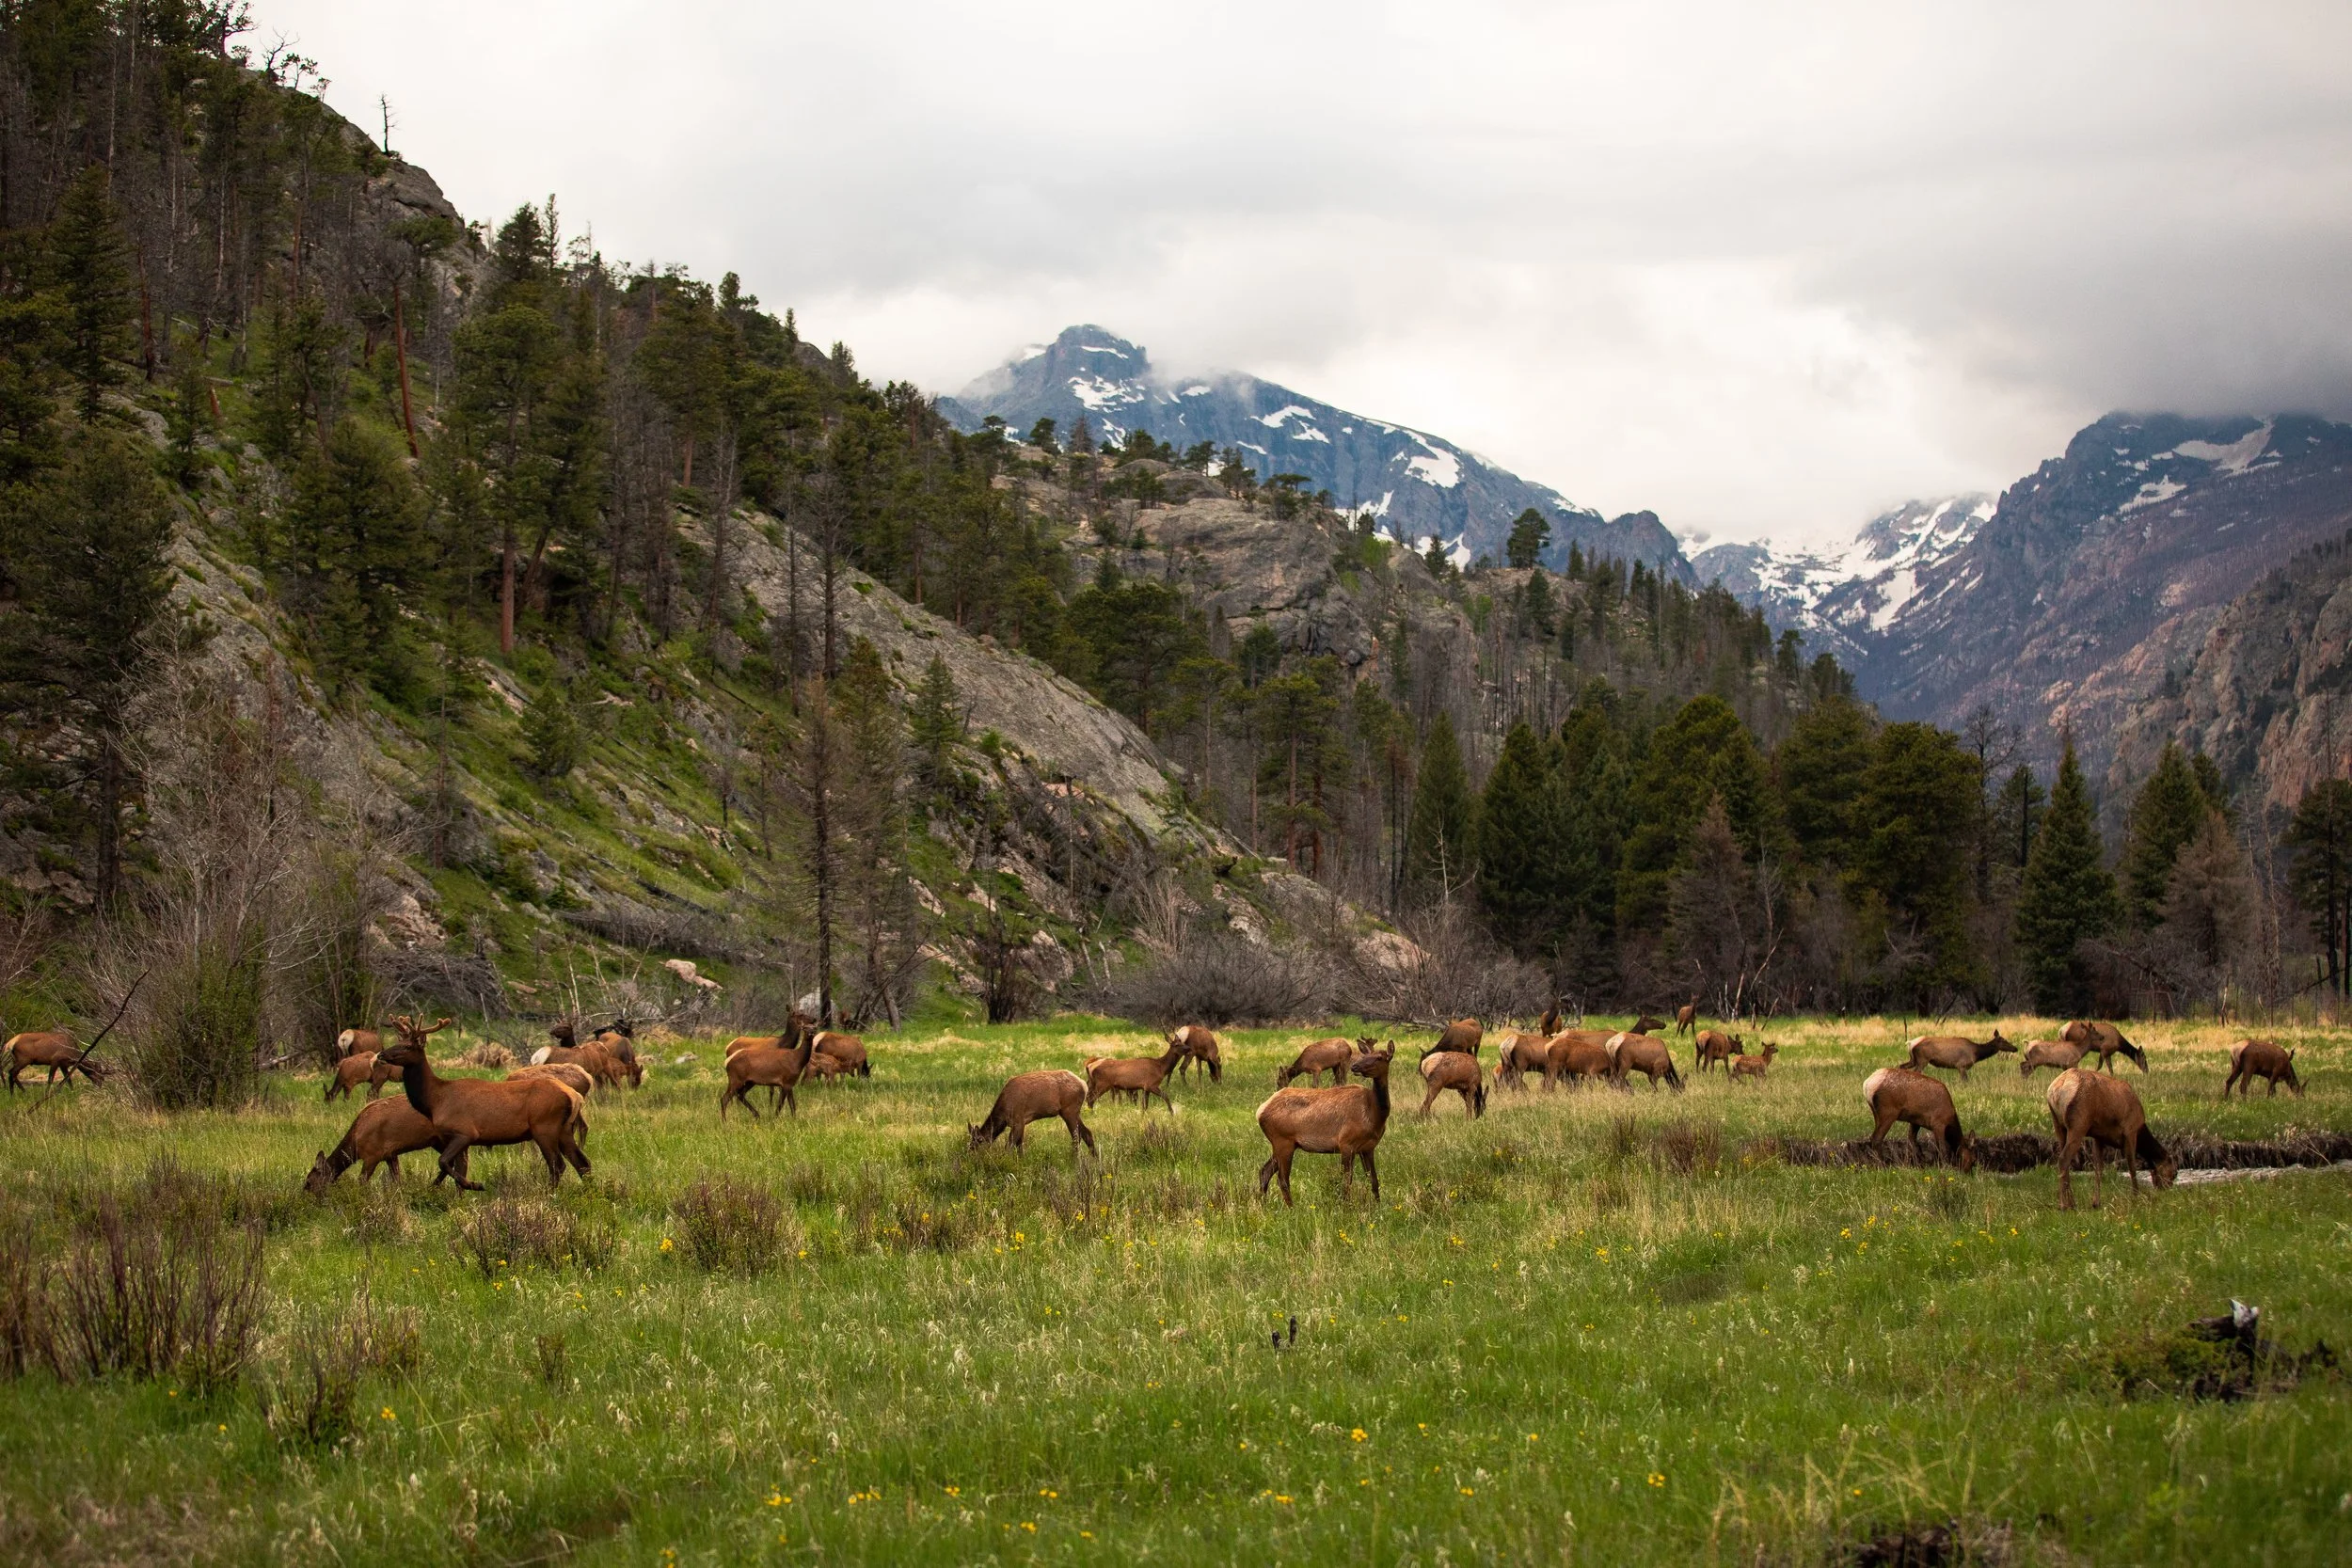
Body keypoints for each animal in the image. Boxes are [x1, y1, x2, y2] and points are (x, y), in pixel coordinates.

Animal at [305, 1097, 453, 1192]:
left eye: (309, 1182)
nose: (303, 1198)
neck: (356, 1145)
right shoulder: (390, 1154)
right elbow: (396, 1179)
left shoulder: (372, 1154)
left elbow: (362, 1181)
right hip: (437, 1141)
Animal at [376, 1016, 591, 1191]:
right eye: (398, 1041)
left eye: (407, 1047)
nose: (381, 1055)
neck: (435, 1100)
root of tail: (574, 1096)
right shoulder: (454, 1138)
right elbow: (457, 1169)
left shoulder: (465, 1132)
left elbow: (443, 1162)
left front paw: (475, 1185)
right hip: (564, 1129)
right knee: (582, 1162)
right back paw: (589, 1194)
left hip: (544, 1127)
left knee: (557, 1165)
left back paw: (549, 1194)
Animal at [968, 1069, 1096, 1157]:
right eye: (970, 1143)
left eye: (978, 1141)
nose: (970, 1153)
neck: (1004, 1114)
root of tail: (1084, 1085)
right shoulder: (1021, 1123)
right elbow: (1020, 1147)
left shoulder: (1018, 1120)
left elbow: (1009, 1147)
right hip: (1074, 1112)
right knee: (1087, 1133)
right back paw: (1094, 1158)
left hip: (1069, 1110)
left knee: (1076, 1137)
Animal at [1256, 1043, 1395, 1206]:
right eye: (1366, 1055)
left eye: (1379, 1057)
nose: (1355, 1066)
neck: (1375, 1115)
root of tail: (1260, 1111)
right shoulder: (1346, 1143)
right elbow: (1346, 1181)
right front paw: (1346, 1206)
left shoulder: (1368, 1148)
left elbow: (1374, 1180)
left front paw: (1379, 1206)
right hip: (1283, 1141)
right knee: (1282, 1179)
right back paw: (1292, 1208)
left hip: (1283, 1144)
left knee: (1264, 1171)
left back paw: (1263, 1203)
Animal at [2047, 1068, 2176, 1209]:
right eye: (2174, 1174)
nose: (2167, 1189)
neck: (2141, 1128)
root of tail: (2056, 1090)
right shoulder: (2130, 1131)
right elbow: (2132, 1166)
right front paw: (2136, 1196)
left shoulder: (2098, 1137)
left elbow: (2098, 1168)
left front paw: (2096, 1202)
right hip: (2078, 1124)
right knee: (2063, 1159)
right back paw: (2064, 1205)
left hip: (2058, 1125)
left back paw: (2070, 1203)